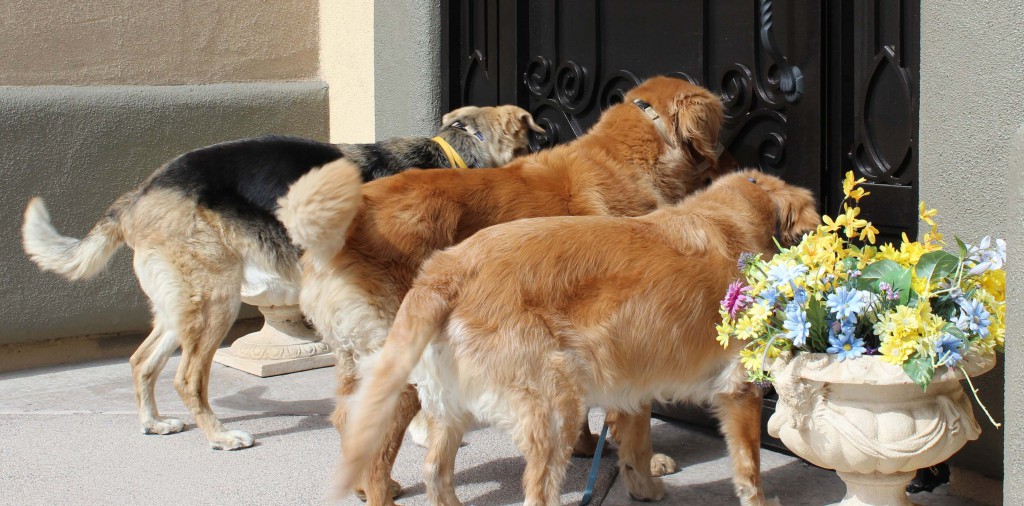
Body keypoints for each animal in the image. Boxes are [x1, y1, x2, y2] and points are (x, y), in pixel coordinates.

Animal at [278, 75, 729, 501]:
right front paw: (647, 462)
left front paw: (584, 445)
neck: (630, 155)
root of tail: (348, 224)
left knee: (347, 422)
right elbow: (633, 415)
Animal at [339, 167, 819, 503]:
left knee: (436, 475)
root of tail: (446, 270)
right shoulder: (741, 387)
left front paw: (645, 490)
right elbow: (750, 469)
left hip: (450, 408)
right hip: (557, 407)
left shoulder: (632, 386)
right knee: (535, 492)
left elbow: (636, 448)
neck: (734, 212)